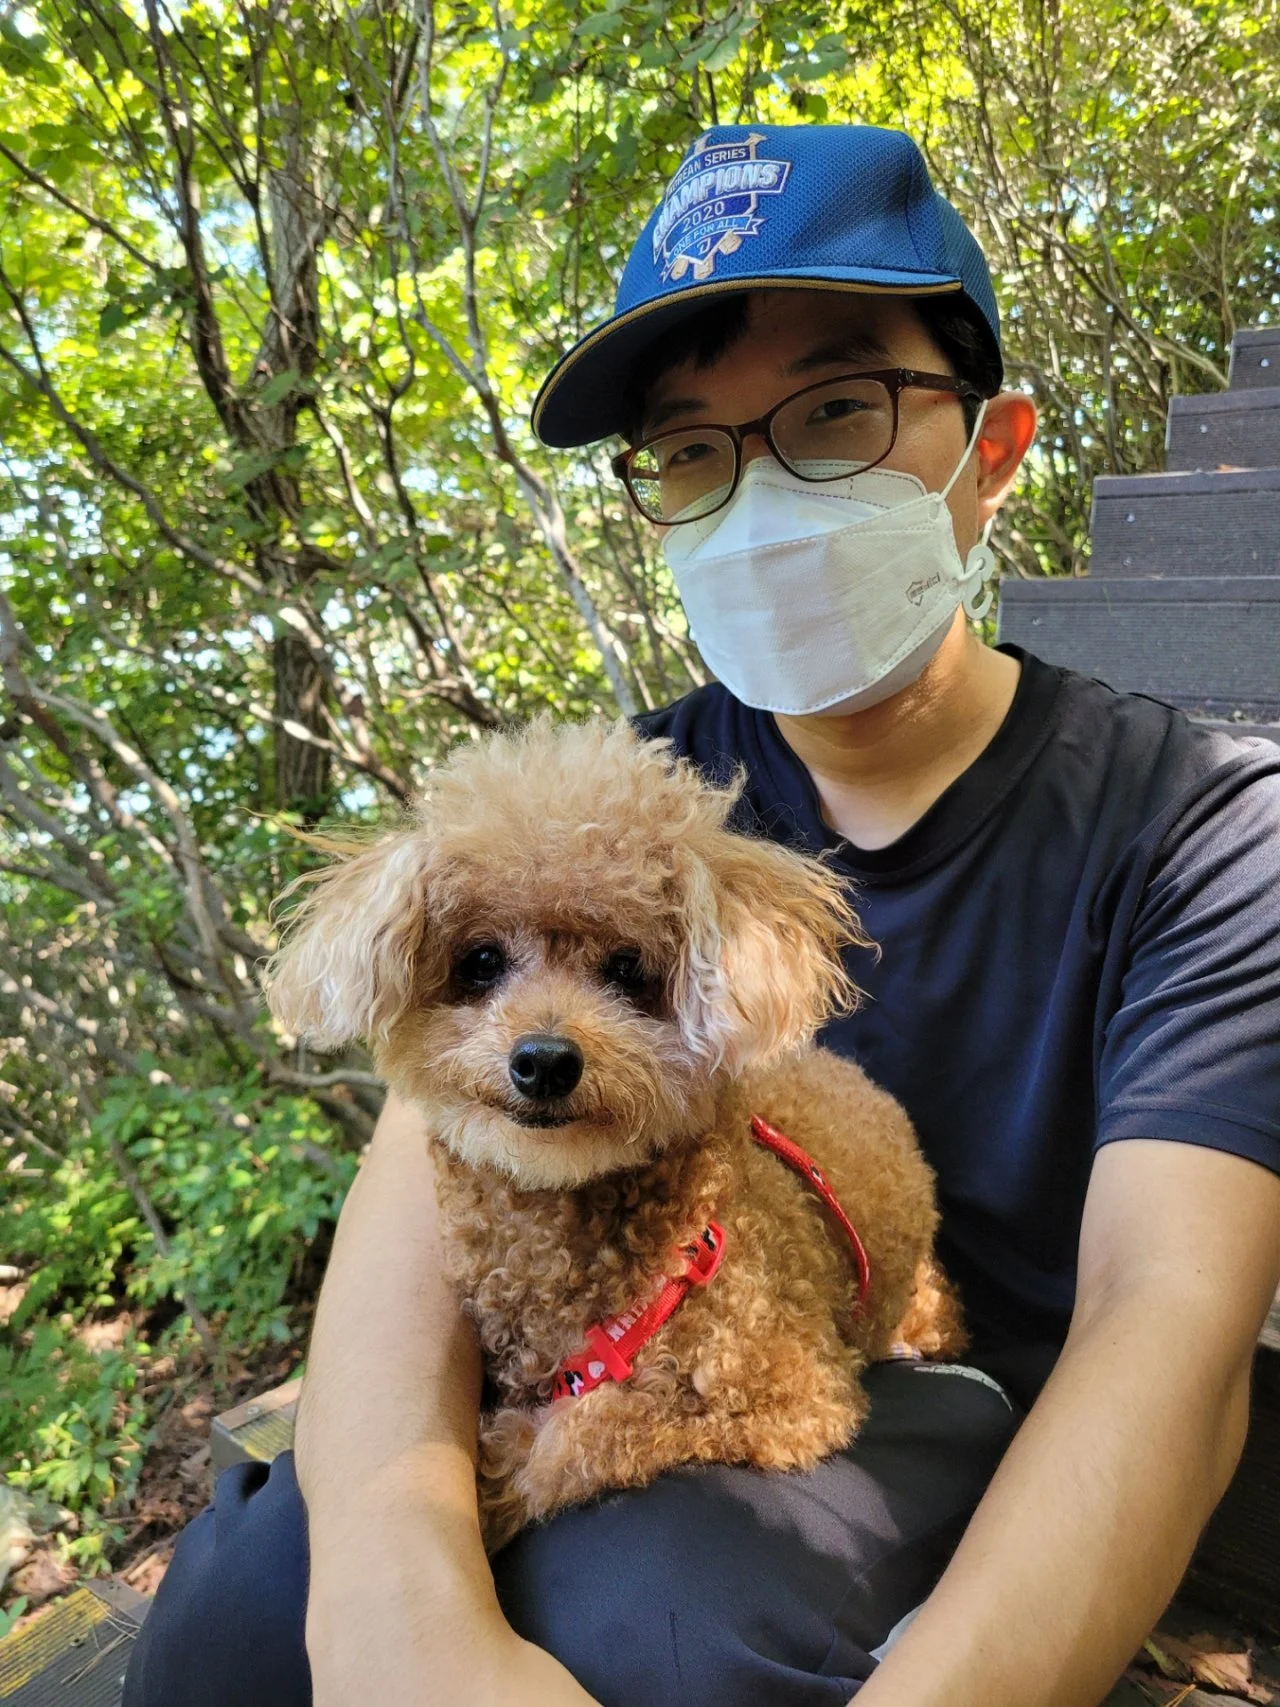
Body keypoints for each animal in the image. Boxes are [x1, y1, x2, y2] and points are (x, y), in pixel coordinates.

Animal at [267, 719, 963, 1551]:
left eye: (627, 968)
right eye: (481, 961)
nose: (543, 1059)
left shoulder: (795, 1397)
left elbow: (589, 1434)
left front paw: (502, 1469)